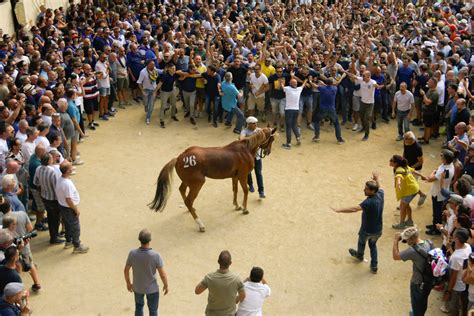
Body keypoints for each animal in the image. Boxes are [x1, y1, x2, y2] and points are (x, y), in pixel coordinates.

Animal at [146, 126, 276, 232]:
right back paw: (200, 224)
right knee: (188, 200)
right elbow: (245, 191)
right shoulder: (242, 176)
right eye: (272, 139)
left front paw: (237, 205)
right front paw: (244, 209)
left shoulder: (235, 177)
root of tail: (179, 158)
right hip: (197, 184)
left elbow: (235, 190)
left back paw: (191, 209)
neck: (245, 150)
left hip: (188, 182)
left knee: (182, 191)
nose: (268, 151)